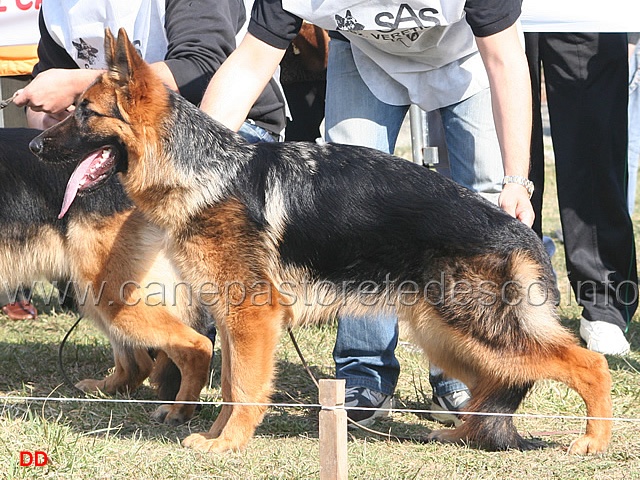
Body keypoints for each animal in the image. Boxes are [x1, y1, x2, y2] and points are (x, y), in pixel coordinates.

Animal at [0, 124, 215, 420]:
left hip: (108, 291)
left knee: (195, 344)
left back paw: (179, 411)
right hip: (97, 292)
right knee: (138, 364)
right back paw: (104, 390)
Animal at [30, 28, 608, 456]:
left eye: (84, 112)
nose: (34, 145)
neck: (203, 169)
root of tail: (519, 228)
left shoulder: (252, 318)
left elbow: (243, 388)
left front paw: (228, 445)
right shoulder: (235, 321)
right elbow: (229, 385)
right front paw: (217, 436)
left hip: (480, 331)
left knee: (587, 364)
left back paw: (593, 440)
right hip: (448, 336)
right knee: (491, 386)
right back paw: (460, 432)